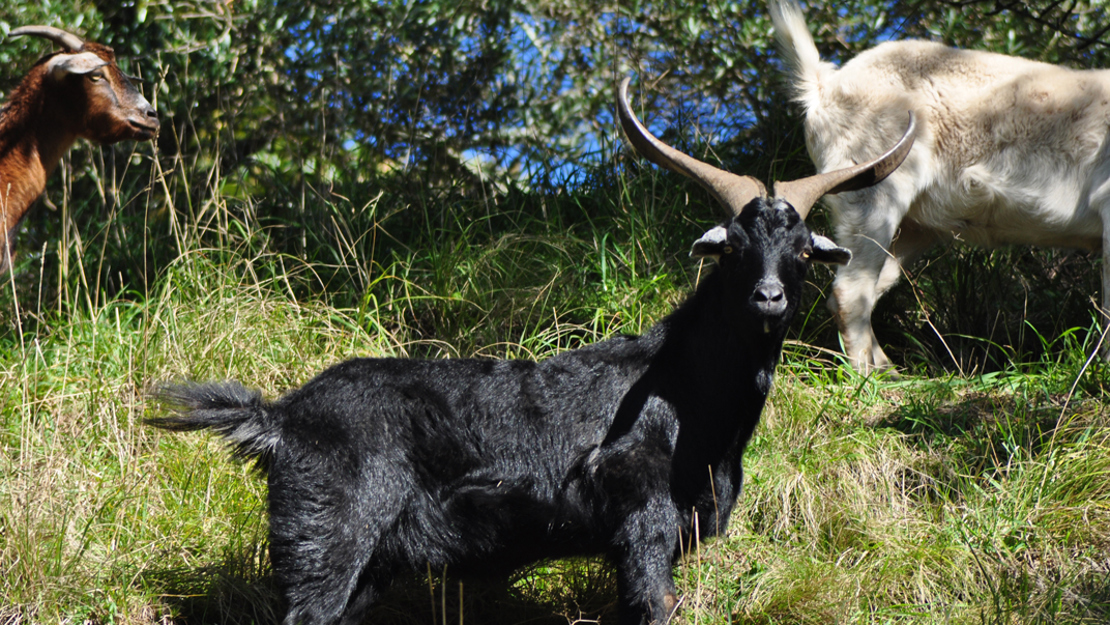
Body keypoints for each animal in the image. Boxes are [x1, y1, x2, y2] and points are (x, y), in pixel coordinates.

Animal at [145, 79, 910, 625]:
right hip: (328, 537)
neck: (687, 395)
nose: (769, 299)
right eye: (734, 248)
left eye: (802, 251)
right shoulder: (643, 523)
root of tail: (280, 418)